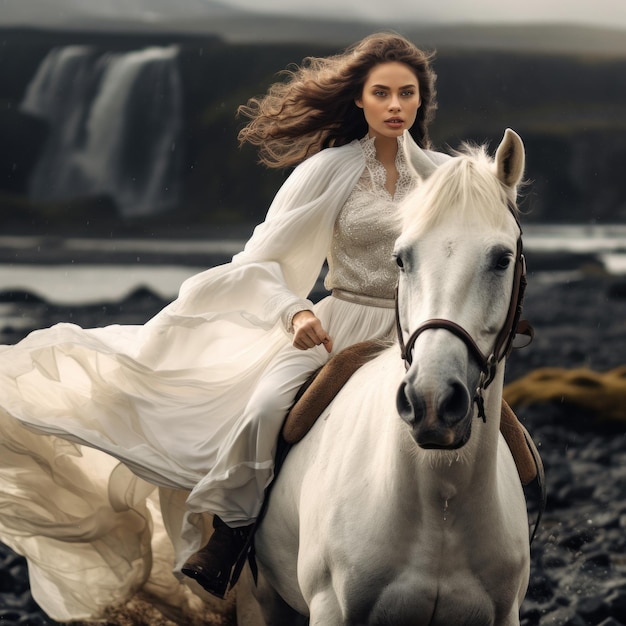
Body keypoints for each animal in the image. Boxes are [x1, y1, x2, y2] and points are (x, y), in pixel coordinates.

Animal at [238, 129, 528, 624]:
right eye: (401, 258)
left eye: (502, 258)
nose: (432, 401)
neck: (439, 500)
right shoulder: (332, 609)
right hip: (261, 601)